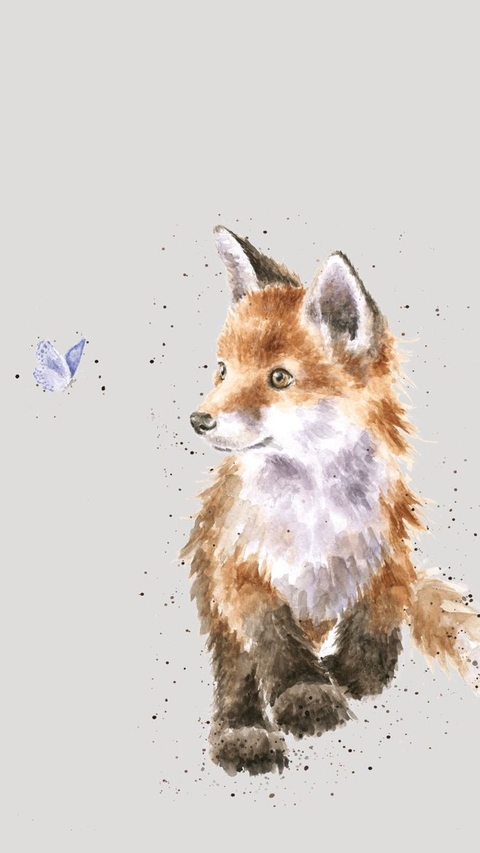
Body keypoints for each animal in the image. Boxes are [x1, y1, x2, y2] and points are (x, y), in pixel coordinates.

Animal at [181, 225, 480, 776]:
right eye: (223, 371)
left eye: (279, 378)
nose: (198, 420)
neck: (314, 510)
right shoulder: (237, 566)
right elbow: (273, 639)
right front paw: (306, 693)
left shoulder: (388, 548)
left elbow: (381, 610)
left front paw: (358, 672)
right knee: (236, 673)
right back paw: (243, 731)